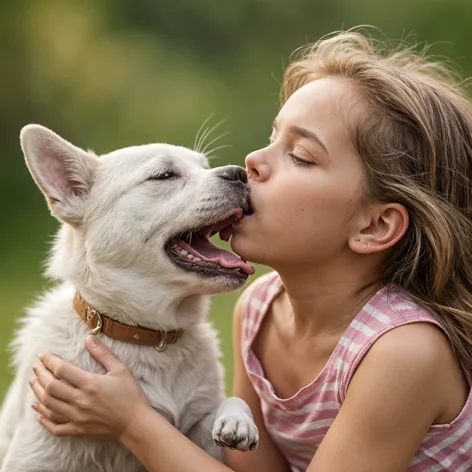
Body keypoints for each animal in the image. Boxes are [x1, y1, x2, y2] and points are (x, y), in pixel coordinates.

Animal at [0, 125, 258, 472]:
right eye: (163, 175)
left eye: (204, 166)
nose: (241, 173)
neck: (147, 336)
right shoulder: (35, 456)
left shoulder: (198, 437)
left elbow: (225, 405)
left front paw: (237, 419)